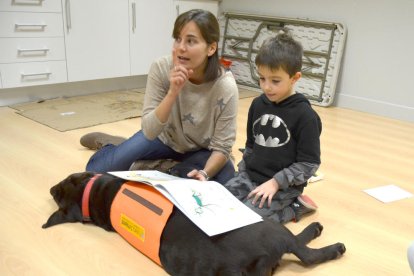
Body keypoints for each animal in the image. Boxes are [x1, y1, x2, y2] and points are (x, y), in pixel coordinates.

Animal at [42, 171, 346, 274]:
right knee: (304, 251)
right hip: (267, 226)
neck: (92, 196)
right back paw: (325, 240)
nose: (50, 188)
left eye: (58, 191)